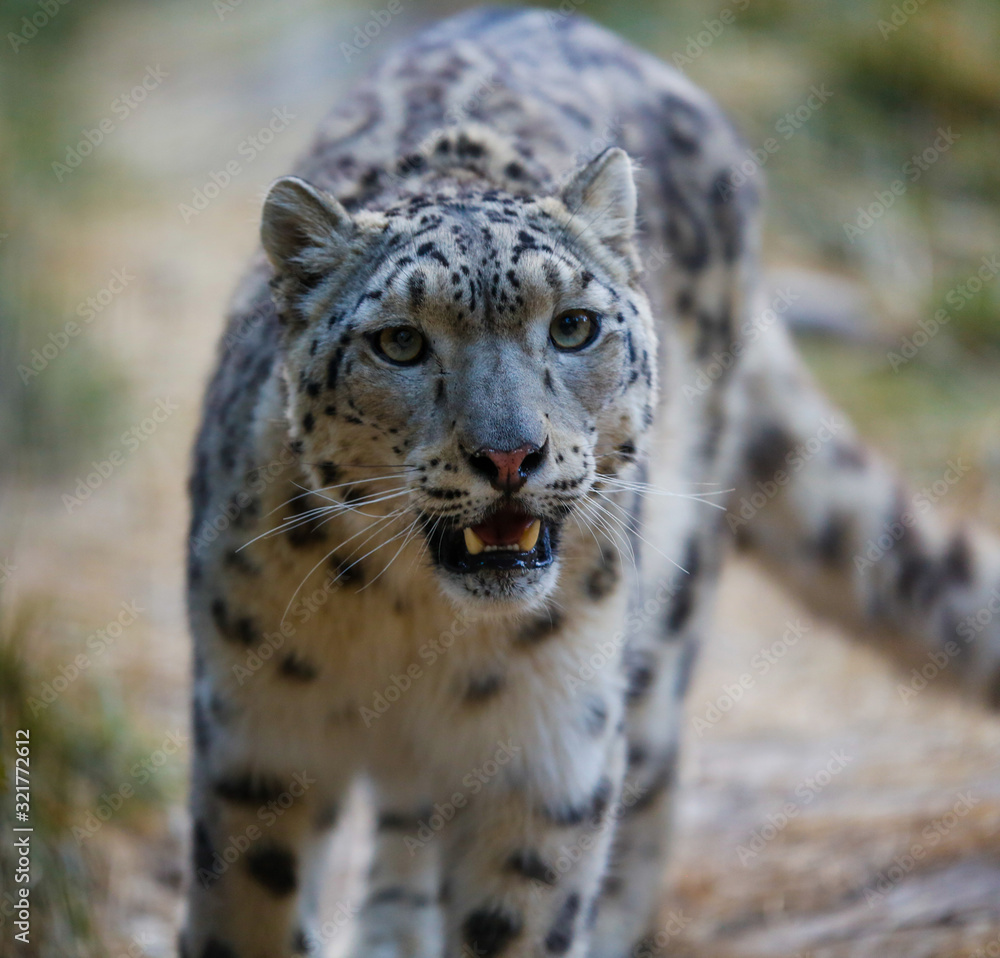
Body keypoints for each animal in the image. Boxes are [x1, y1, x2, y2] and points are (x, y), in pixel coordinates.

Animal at [182, 8, 1000, 958]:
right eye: (400, 343)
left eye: (573, 327)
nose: (510, 456)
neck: (419, 625)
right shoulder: (255, 744)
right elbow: (250, 916)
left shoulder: (550, 758)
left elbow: (519, 918)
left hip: (662, 629)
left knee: (651, 786)